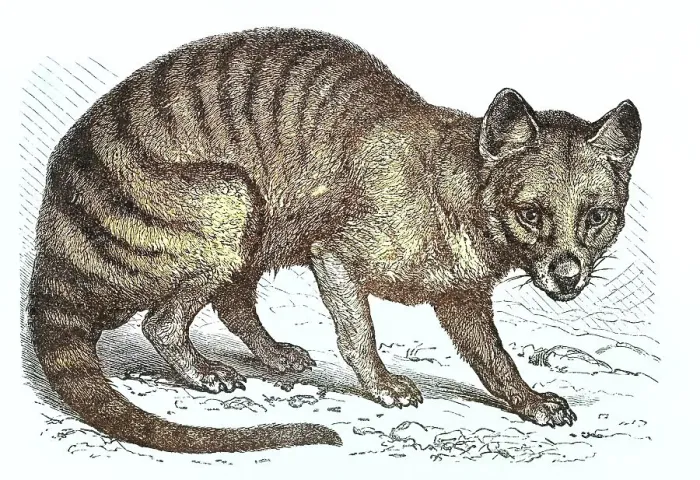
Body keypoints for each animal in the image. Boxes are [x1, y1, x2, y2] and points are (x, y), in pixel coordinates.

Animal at [27, 27, 641, 454]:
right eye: (532, 214)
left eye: (598, 217)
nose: (568, 275)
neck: (456, 189)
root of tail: (55, 239)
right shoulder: (336, 254)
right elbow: (358, 334)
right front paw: (384, 384)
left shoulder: (461, 292)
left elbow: (492, 357)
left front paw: (528, 400)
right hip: (232, 198)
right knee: (162, 320)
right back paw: (203, 371)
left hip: (260, 229)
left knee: (231, 299)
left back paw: (273, 353)